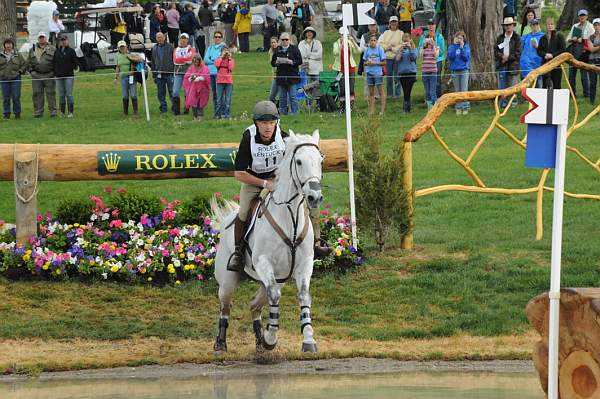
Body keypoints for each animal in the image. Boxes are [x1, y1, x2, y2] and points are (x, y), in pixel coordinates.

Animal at [211, 130, 324, 354]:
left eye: (320, 160)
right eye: (299, 161)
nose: (314, 197)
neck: (290, 218)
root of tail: (227, 219)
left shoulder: (304, 264)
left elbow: (303, 295)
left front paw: (308, 339)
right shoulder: (264, 263)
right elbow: (275, 296)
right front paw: (271, 338)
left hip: (272, 279)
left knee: (254, 305)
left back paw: (259, 341)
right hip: (228, 282)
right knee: (225, 306)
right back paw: (221, 343)